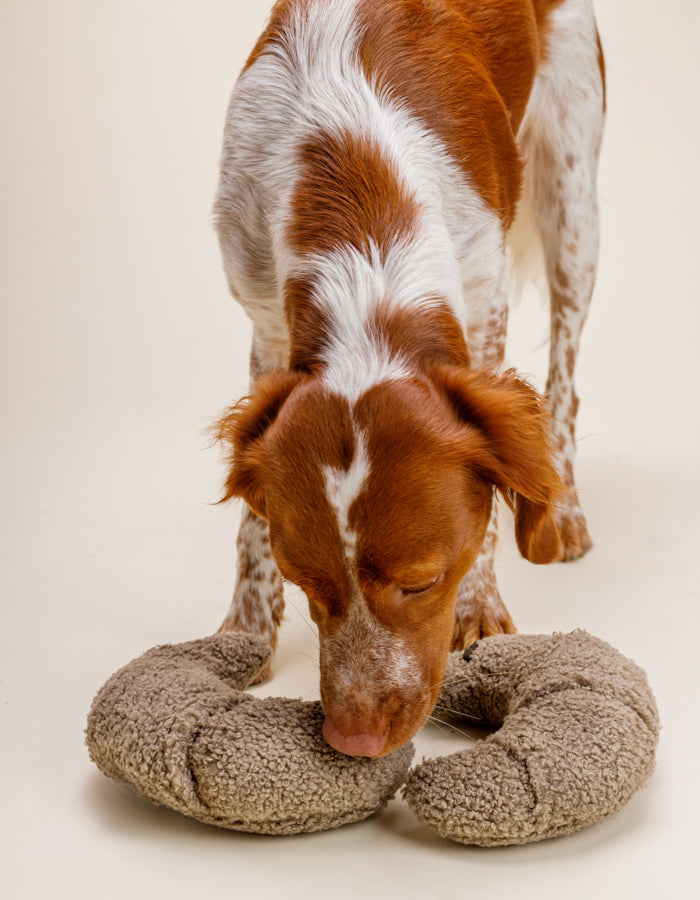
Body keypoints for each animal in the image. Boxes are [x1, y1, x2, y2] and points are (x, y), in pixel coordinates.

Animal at [211, 0, 604, 760]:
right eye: (308, 581)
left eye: (423, 583)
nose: (356, 739)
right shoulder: (264, 319)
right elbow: (252, 521)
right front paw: (246, 629)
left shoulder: (485, 306)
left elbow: (493, 512)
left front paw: (480, 609)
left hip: (573, 198)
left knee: (568, 369)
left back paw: (567, 507)